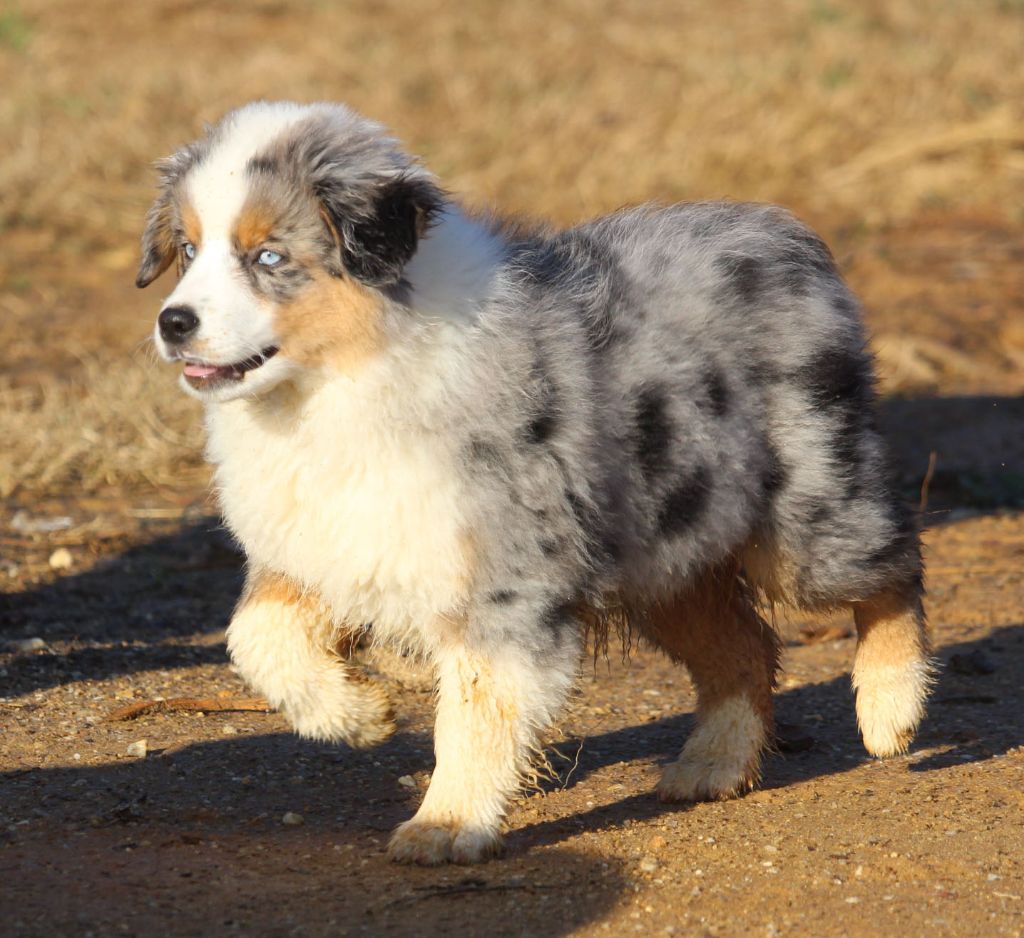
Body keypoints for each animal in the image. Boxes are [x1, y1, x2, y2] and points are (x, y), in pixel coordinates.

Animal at [138, 101, 932, 865]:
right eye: (188, 250)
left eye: (269, 256)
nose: (172, 323)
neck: (336, 383)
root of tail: (783, 230)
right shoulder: (320, 542)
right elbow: (255, 637)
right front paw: (359, 715)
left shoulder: (501, 581)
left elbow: (475, 711)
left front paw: (447, 823)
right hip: (668, 554)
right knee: (744, 647)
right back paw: (713, 766)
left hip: (803, 521)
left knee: (893, 566)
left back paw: (890, 708)